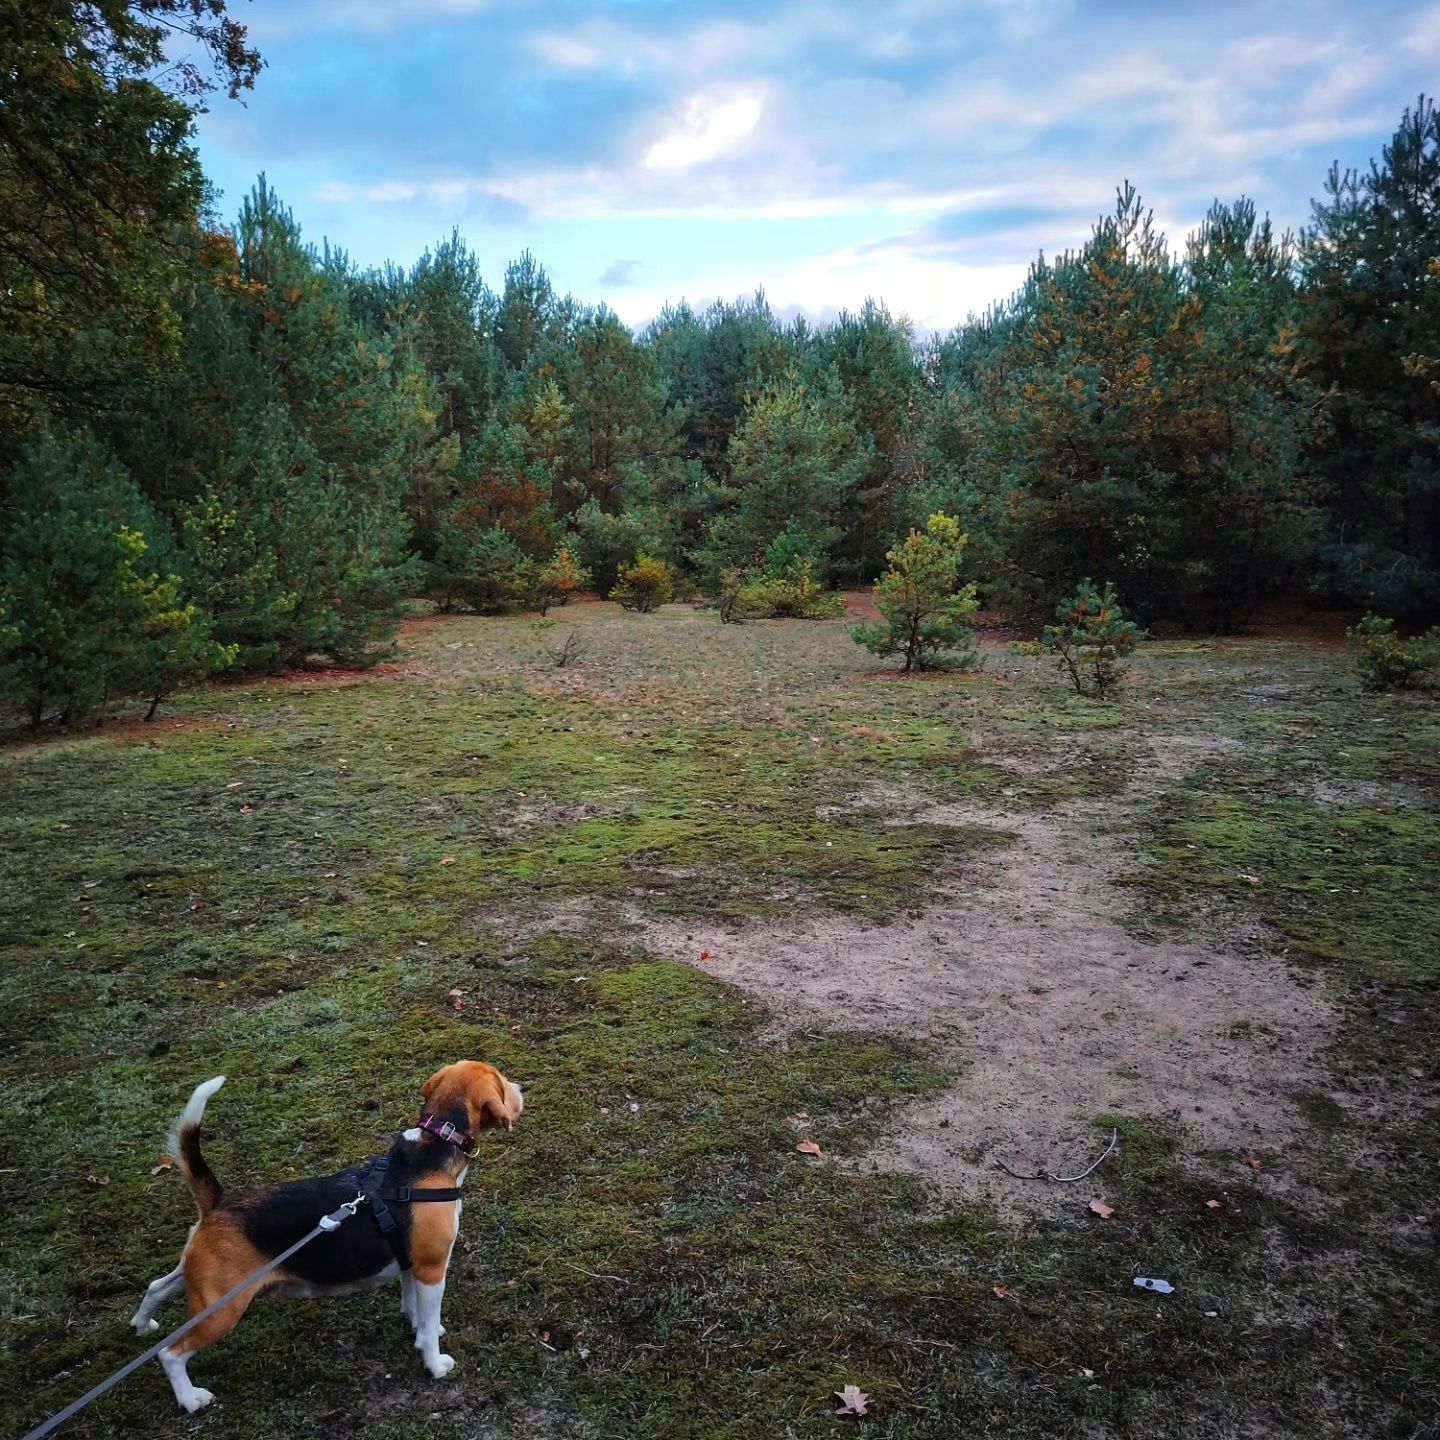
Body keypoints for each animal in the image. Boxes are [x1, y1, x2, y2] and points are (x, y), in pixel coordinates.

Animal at [129, 1065, 524, 1411]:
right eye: (502, 1081)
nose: (522, 1087)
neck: (432, 1149)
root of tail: (220, 1200)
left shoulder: (412, 1263)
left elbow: (414, 1307)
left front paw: (418, 1324)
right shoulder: (431, 1267)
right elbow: (426, 1328)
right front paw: (435, 1362)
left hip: (202, 1284)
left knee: (157, 1287)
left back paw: (142, 1324)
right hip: (222, 1310)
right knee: (170, 1353)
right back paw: (189, 1398)